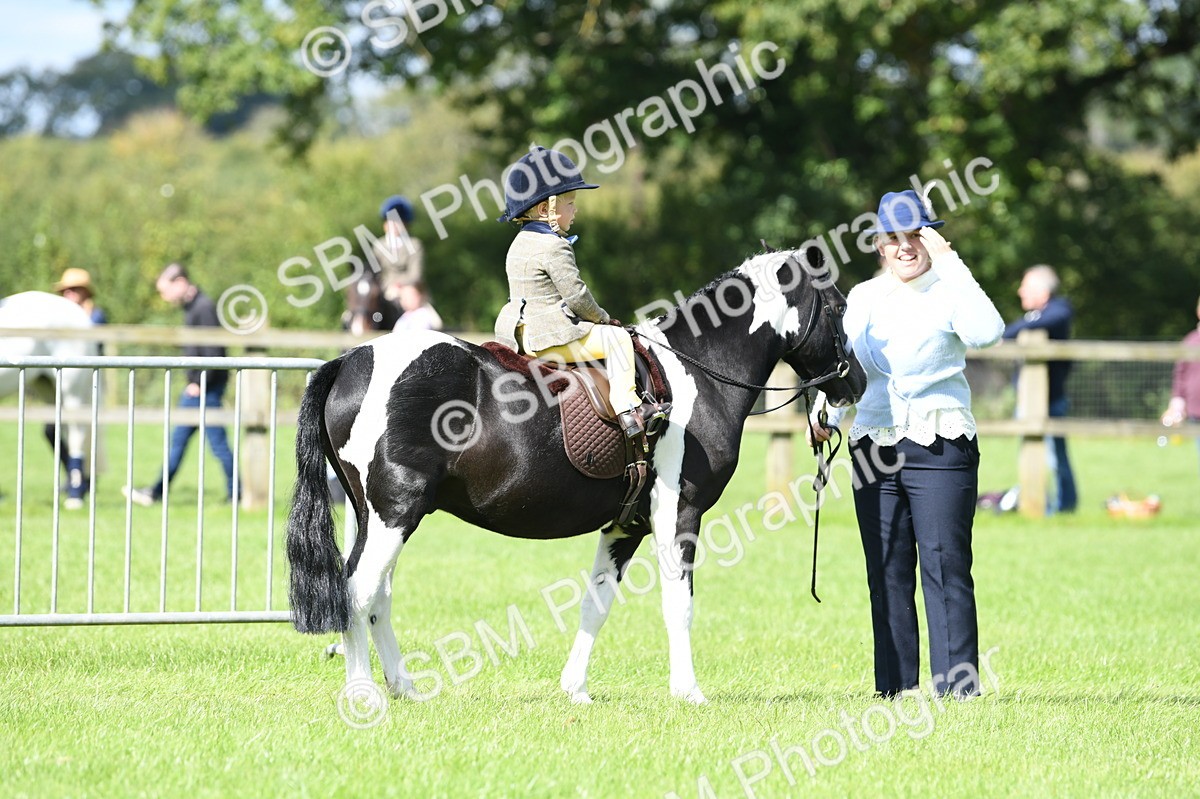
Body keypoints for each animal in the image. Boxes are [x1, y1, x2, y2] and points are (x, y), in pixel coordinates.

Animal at [287, 247, 867, 704]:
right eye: (838, 307)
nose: (855, 383)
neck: (695, 374)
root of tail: (352, 360)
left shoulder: (624, 526)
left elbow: (596, 604)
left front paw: (575, 689)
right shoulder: (678, 514)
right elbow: (679, 603)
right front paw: (689, 692)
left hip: (380, 516)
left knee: (377, 595)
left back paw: (402, 686)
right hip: (394, 513)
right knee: (358, 592)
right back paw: (363, 693)